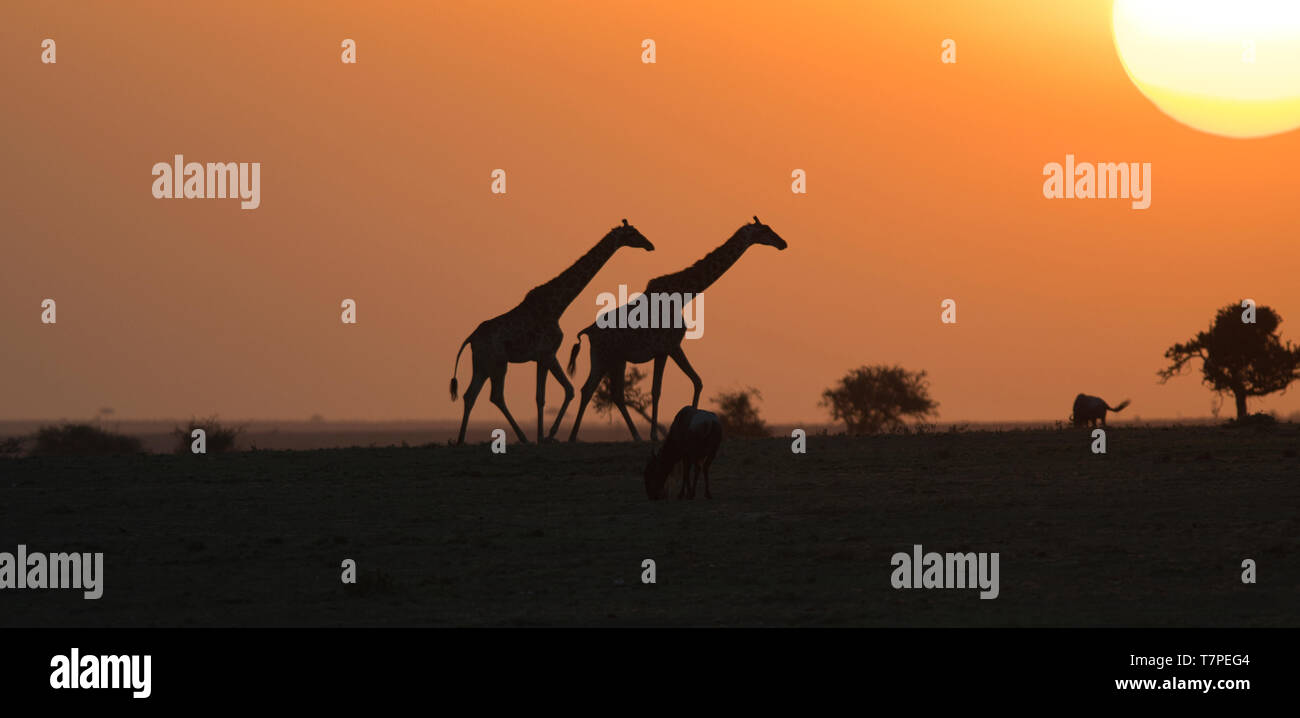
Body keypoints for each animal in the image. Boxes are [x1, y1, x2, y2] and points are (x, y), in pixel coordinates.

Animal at [449, 220, 654, 445]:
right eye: (632, 233)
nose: (650, 245)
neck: (558, 306)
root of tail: (470, 338)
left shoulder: (543, 356)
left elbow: (549, 395)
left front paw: (544, 435)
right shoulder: (546, 353)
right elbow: (557, 393)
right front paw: (546, 435)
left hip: (483, 364)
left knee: (471, 395)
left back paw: (461, 440)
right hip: (497, 363)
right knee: (495, 395)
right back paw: (521, 438)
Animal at [566, 216, 787, 442]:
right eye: (764, 231)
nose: (783, 243)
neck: (683, 295)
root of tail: (589, 331)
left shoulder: (665, 350)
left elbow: (688, 383)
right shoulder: (670, 346)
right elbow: (669, 388)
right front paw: (659, 434)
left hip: (613, 358)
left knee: (602, 391)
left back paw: (601, 436)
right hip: (605, 356)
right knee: (595, 390)